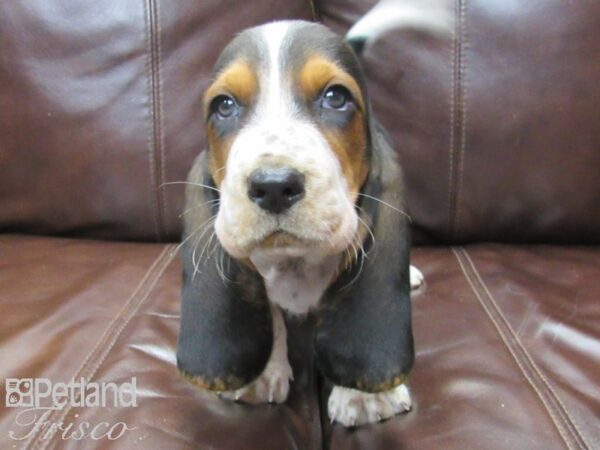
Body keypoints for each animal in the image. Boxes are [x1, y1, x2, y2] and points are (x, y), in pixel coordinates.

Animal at [177, 3, 450, 428]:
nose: (274, 186)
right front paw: (263, 375)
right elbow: (270, 311)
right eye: (224, 105)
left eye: (336, 97)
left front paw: (364, 397)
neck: (296, 261)